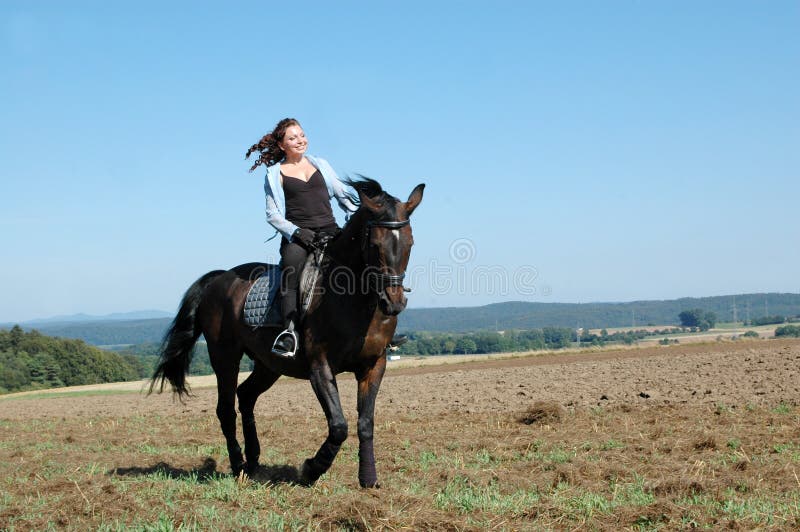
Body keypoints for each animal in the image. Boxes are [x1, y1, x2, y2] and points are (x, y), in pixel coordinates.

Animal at [151, 179, 424, 486]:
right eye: (375, 245)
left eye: (410, 243)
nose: (394, 303)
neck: (355, 300)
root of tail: (220, 278)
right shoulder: (319, 367)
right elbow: (339, 425)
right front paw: (311, 469)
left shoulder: (373, 365)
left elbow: (365, 422)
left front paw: (368, 478)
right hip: (224, 356)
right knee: (226, 409)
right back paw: (238, 465)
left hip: (269, 364)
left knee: (246, 395)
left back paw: (253, 459)